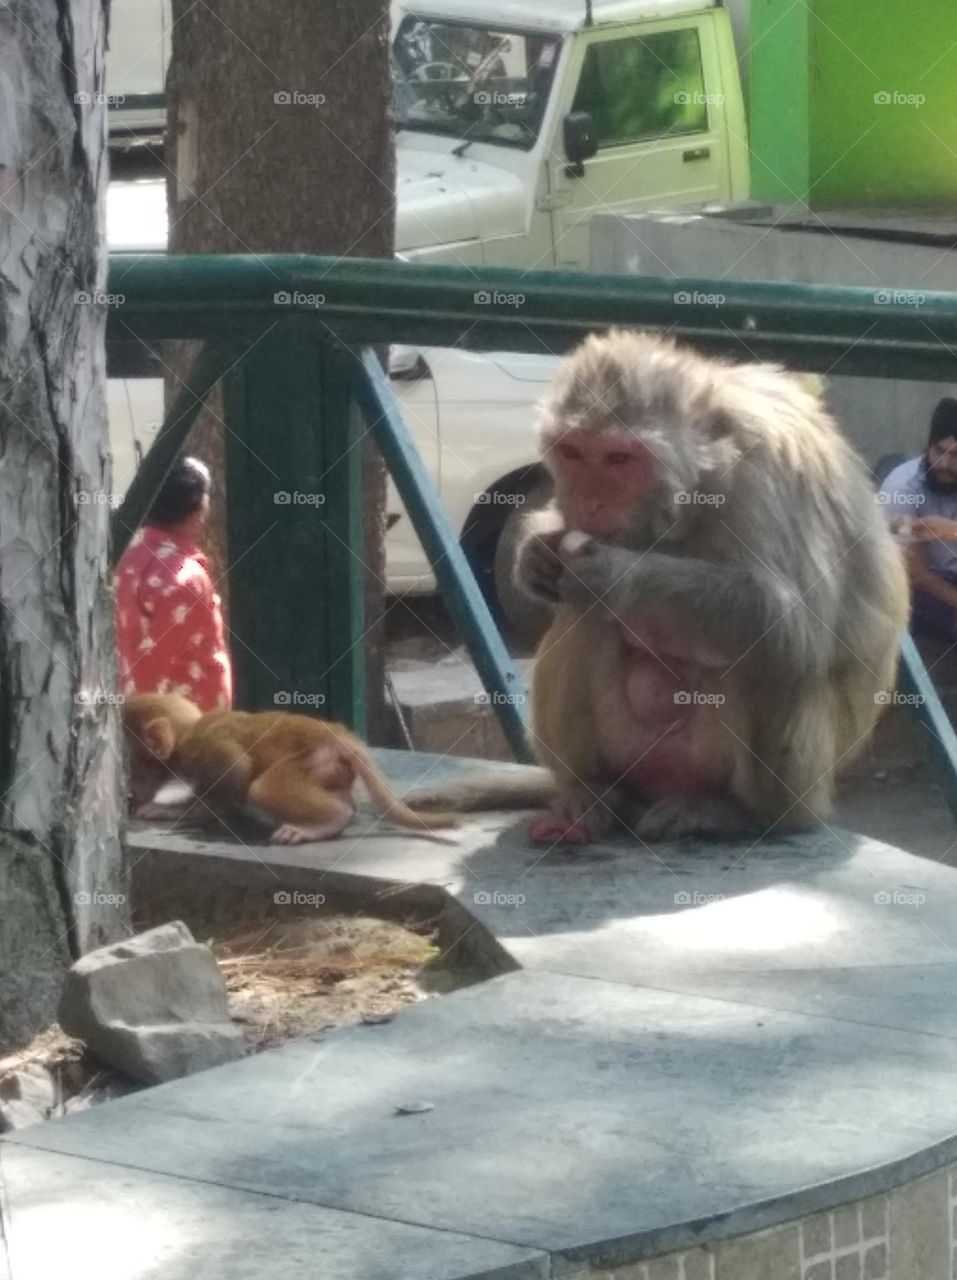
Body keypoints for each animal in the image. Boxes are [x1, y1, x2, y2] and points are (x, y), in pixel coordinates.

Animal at [122, 693, 461, 845]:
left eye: (131, 767)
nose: (131, 794)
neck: (187, 733)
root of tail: (337, 735)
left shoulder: (203, 750)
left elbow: (236, 772)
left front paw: (185, 811)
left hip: (315, 758)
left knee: (262, 788)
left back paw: (330, 820)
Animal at [511, 329, 910, 845]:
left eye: (619, 459)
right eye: (573, 452)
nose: (588, 502)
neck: (699, 481)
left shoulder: (767, 472)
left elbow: (793, 625)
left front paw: (614, 575)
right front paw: (534, 556)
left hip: (789, 787)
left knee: (771, 660)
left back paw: (737, 814)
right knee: (583, 620)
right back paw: (593, 792)